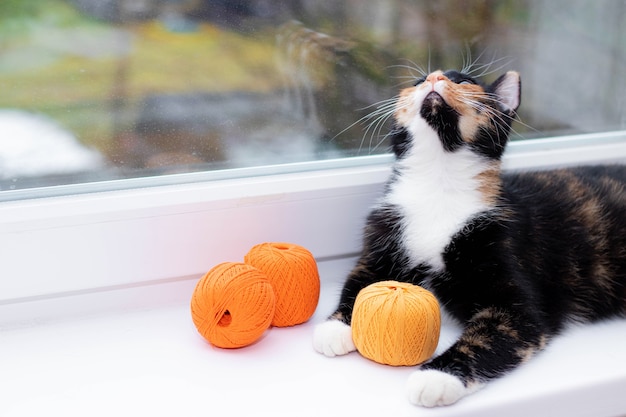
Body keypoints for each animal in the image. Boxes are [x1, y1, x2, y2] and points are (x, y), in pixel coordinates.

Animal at [314, 69, 624, 406]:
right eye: (417, 82)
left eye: (464, 82)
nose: (433, 77)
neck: (439, 185)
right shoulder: (381, 242)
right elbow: (358, 282)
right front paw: (335, 328)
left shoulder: (513, 291)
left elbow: (489, 338)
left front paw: (437, 377)